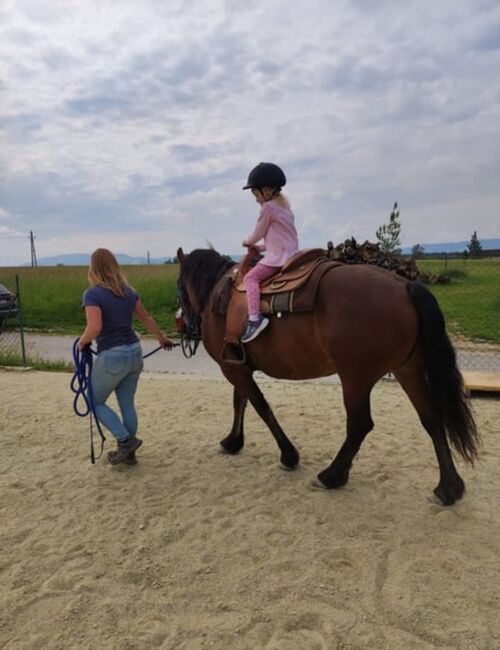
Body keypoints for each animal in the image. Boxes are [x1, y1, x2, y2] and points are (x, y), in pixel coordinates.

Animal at [176, 246, 476, 504]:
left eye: (179, 286)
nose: (184, 324)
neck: (218, 297)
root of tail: (404, 285)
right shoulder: (238, 366)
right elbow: (241, 402)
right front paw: (233, 441)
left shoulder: (232, 369)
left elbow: (260, 406)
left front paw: (288, 455)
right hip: (407, 370)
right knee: (431, 419)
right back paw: (448, 488)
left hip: (355, 378)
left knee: (360, 425)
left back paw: (331, 475)